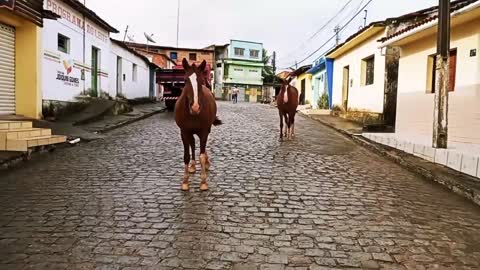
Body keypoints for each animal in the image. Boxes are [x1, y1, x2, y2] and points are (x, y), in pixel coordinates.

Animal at [175, 58, 222, 191]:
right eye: (186, 80)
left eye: (201, 81)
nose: (195, 107)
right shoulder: (184, 132)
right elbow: (186, 155)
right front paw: (185, 181)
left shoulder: (204, 131)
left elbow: (201, 154)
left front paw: (203, 181)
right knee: (192, 144)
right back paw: (192, 165)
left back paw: (206, 162)